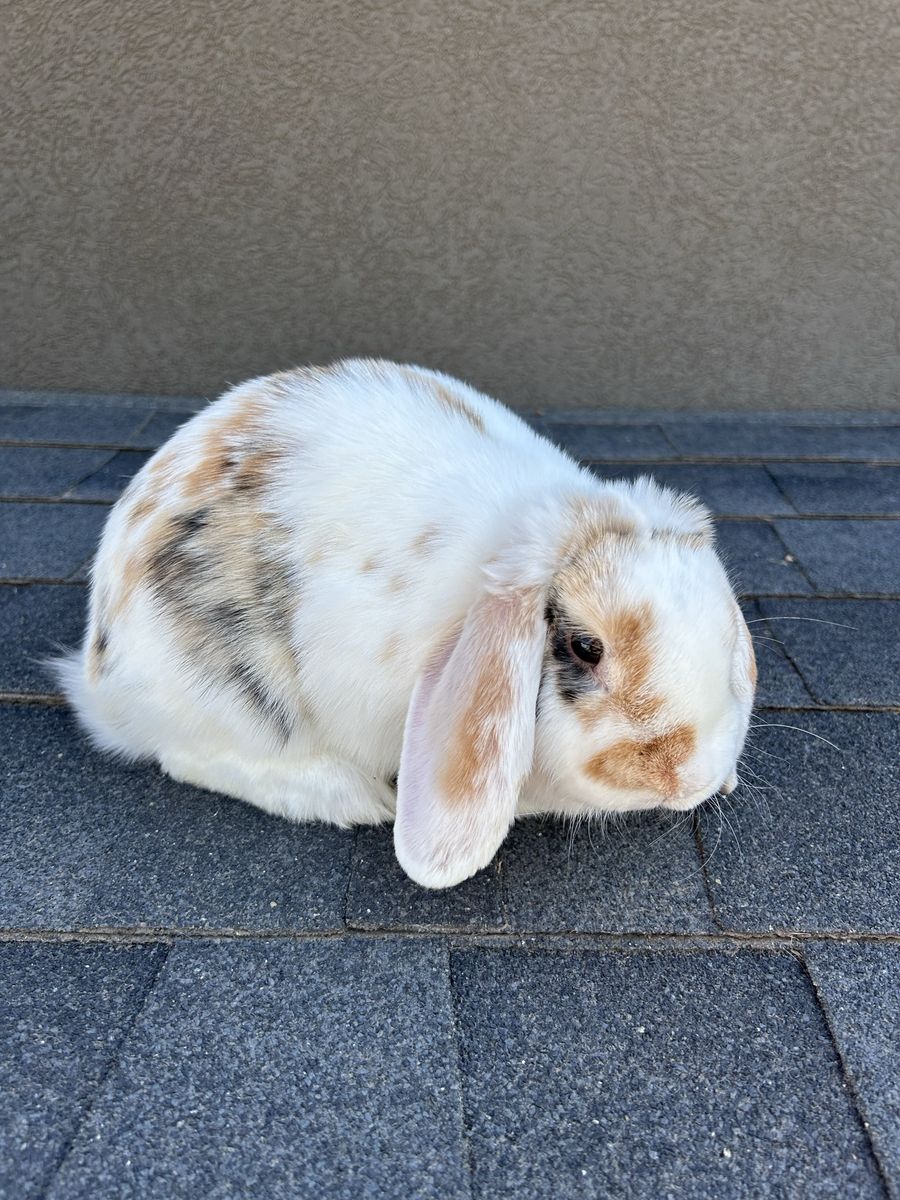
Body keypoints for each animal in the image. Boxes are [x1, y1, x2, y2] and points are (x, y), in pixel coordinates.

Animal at [55, 359, 756, 888]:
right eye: (587, 647)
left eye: (728, 645)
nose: (684, 779)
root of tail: (97, 672)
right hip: (227, 699)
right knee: (188, 758)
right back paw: (349, 797)